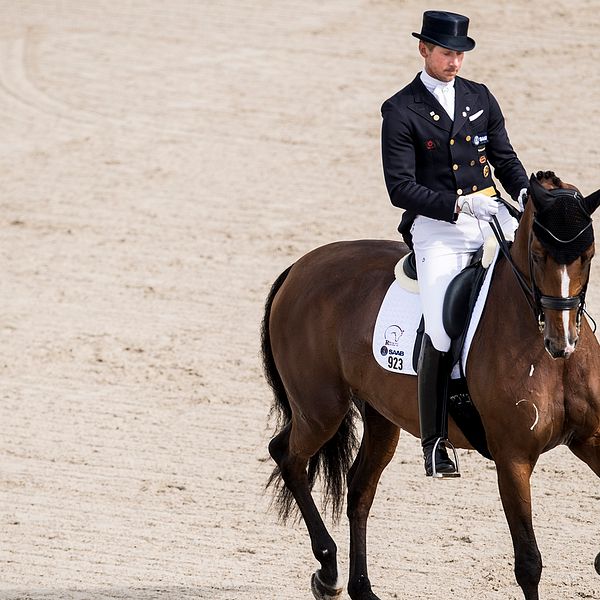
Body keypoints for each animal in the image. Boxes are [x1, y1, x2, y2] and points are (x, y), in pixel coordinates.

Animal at [262, 172, 600, 600]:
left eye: (588, 255)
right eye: (538, 254)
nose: (562, 342)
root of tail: (300, 266)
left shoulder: (591, 439)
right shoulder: (513, 458)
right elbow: (529, 563)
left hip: (379, 415)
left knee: (359, 490)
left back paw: (361, 588)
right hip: (321, 409)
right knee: (288, 457)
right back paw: (328, 571)